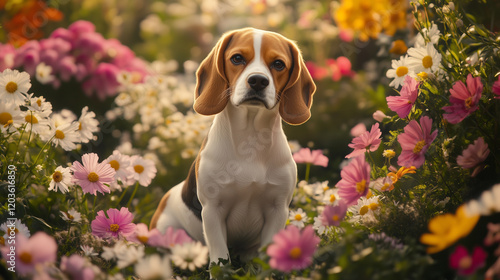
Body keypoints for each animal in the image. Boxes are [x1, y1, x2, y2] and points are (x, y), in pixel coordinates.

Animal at [149, 27, 316, 264]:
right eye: (237, 58)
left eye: (278, 64)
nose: (258, 81)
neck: (250, 138)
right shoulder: (212, 209)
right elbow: (220, 256)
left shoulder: (278, 209)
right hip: (167, 230)